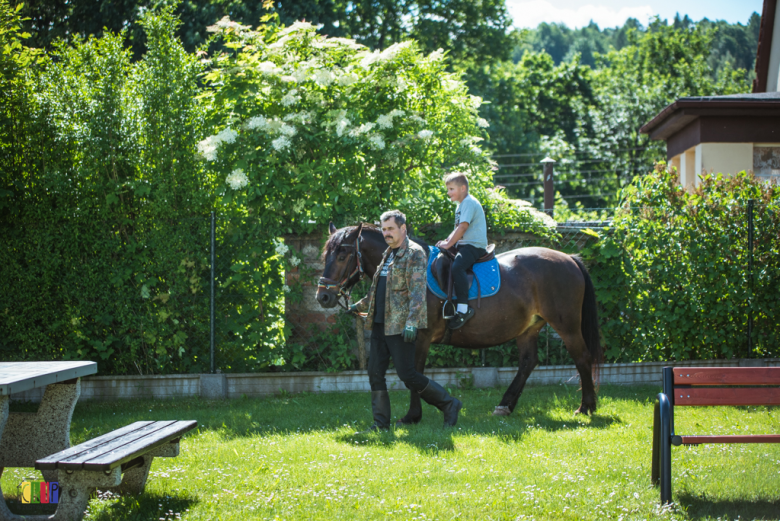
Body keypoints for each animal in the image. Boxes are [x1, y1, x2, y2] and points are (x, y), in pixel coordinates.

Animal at [316, 220, 604, 422]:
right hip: (529, 328)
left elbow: (414, 374)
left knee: (581, 358)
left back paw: (586, 406)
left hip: (567, 325)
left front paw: (414, 415)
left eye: (342, 256)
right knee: (527, 363)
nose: (324, 296)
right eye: (325, 255)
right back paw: (505, 405)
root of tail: (569, 259)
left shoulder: (419, 338)